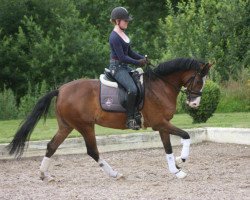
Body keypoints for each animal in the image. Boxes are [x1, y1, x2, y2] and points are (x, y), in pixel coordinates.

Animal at [7, 57, 211, 180]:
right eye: (198, 80)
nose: (194, 104)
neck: (160, 86)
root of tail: (61, 89)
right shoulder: (160, 123)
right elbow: (186, 136)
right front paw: (181, 160)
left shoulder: (162, 125)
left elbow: (168, 147)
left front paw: (175, 170)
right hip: (85, 126)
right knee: (92, 151)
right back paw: (115, 174)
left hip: (66, 126)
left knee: (51, 146)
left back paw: (44, 175)